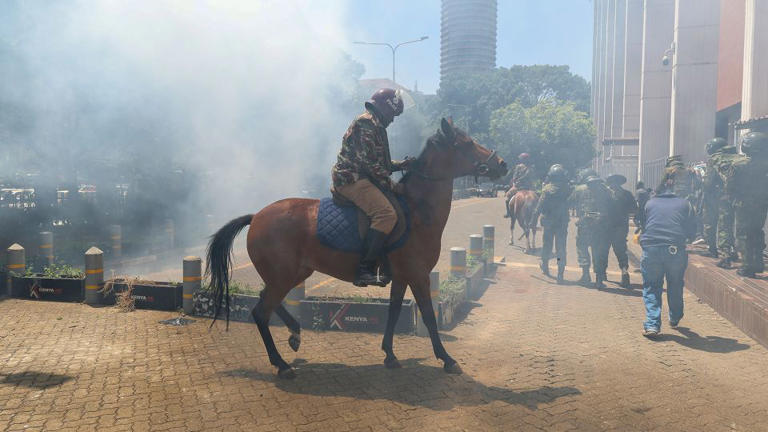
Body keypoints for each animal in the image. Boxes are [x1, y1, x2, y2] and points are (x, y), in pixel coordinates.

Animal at [207, 118, 508, 378]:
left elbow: (394, 313)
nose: (502, 164)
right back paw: (281, 363)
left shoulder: (402, 277)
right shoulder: (418, 275)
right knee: (260, 312)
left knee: (266, 301)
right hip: (283, 277)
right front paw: (446, 358)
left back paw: (294, 333)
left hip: (293, 274)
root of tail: (257, 216)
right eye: (466, 143)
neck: (416, 210)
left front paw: (390, 354)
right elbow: (429, 316)